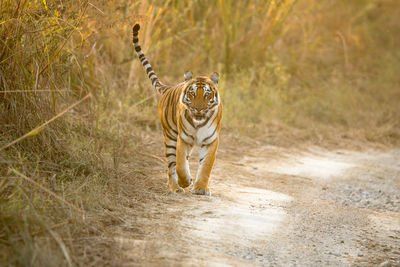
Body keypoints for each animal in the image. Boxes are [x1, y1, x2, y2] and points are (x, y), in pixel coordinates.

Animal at [132, 24, 222, 196]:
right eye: (192, 93)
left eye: (207, 95)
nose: (198, 109)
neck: (198, 123)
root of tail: (168, 88)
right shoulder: (183, 138)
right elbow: (179, 165)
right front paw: (185, 182)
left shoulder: (211, 141)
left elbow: (206, 166)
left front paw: (201, 188)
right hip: (170, 136)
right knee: (171, 166)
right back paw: (176, 187)